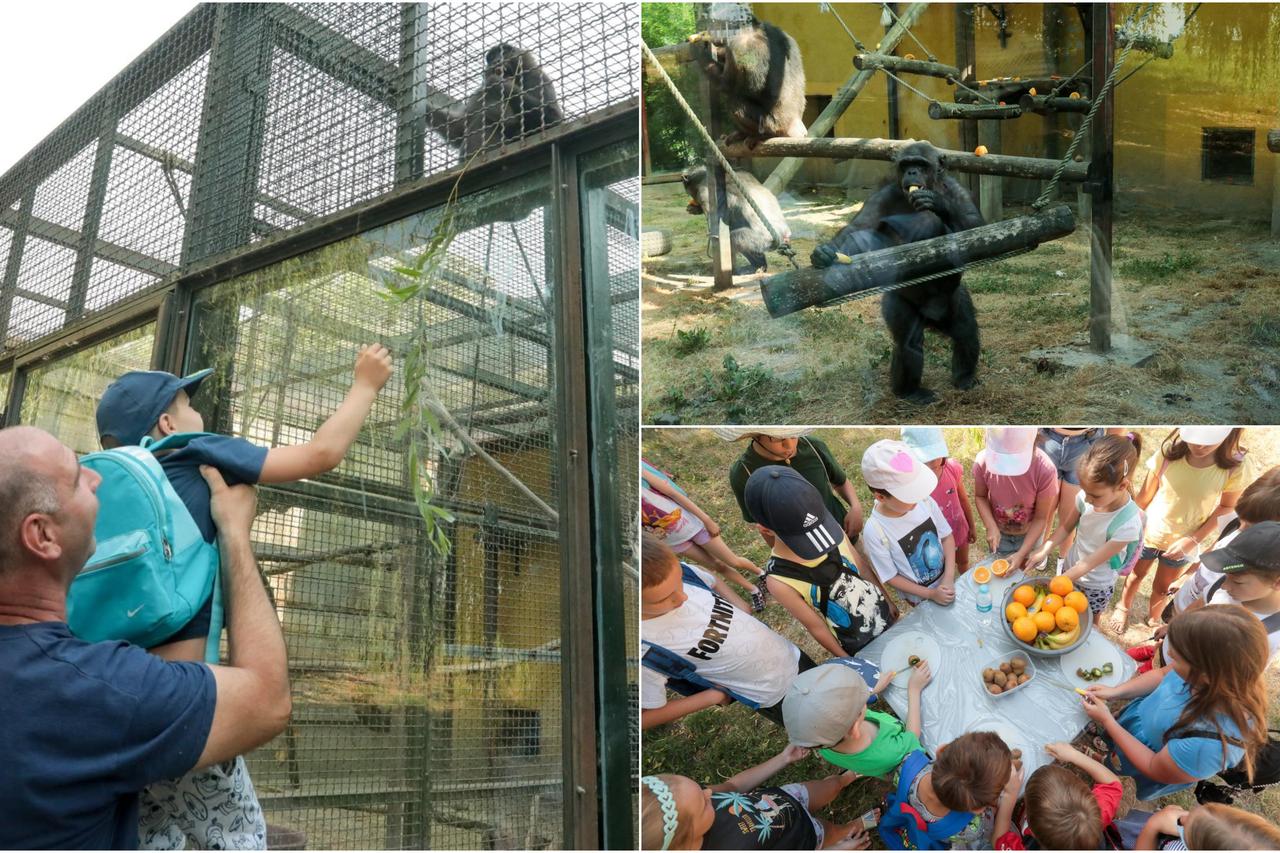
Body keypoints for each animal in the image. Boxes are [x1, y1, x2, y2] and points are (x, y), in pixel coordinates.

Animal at [696, 19, 803, 147]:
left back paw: (762, 135)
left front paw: (699, 49)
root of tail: (796, 127)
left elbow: (726, 83)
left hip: (773, 125)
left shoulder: (739, 45)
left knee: (735, 102)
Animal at [814, 140, 983, 404]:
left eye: (921, 165)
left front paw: (937, 203)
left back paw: (964, 378)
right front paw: (824, 253)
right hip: (900, 305)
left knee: (965, 329)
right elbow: (858, 227)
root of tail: (932, 318)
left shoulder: (959, 192)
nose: (912, 172)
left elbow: (976, 229)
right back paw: (909, 391)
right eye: (906, 164)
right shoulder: (881, 197)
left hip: (954, 300)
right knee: (907, 344)